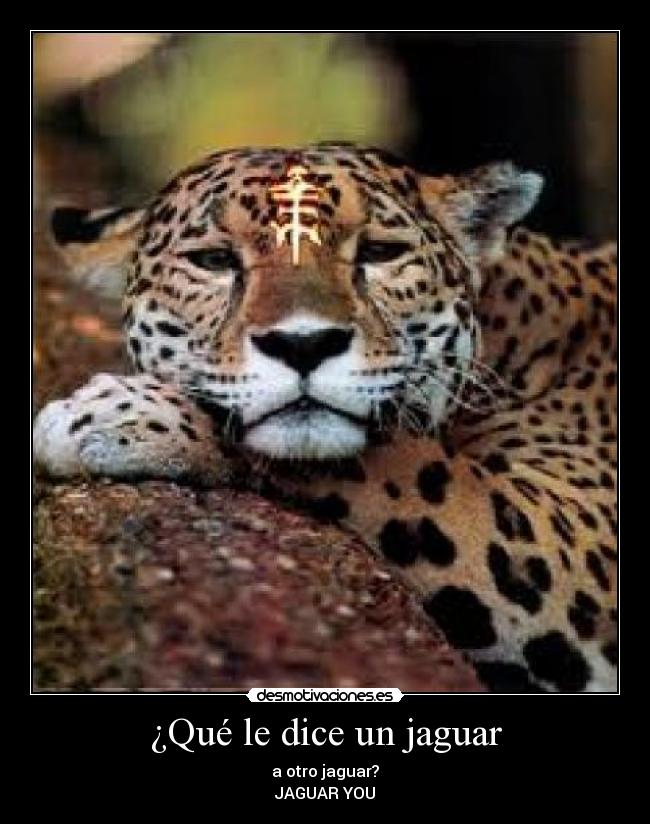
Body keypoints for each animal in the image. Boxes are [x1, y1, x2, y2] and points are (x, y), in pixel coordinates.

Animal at [33, 142, 618, 692]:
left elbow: (394, 461)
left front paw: (115, 415)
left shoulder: (574, 542)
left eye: (380, 252)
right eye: (215, 261)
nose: (303, 343)